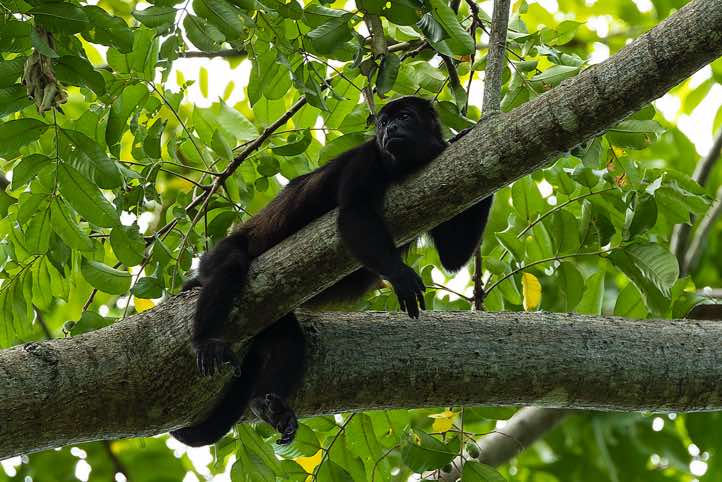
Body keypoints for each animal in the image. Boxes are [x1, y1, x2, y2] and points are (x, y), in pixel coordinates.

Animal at [171, 96, 492, 447]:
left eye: (405, 117)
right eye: (383, 123)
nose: (390, 128)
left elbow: (453, 255)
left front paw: (469, 138)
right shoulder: (366, 158)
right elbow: (352, 216)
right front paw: (400, 275)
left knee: (291, 341)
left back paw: (268, 407)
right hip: (221, 253)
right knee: (229, 267)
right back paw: (204, 340)